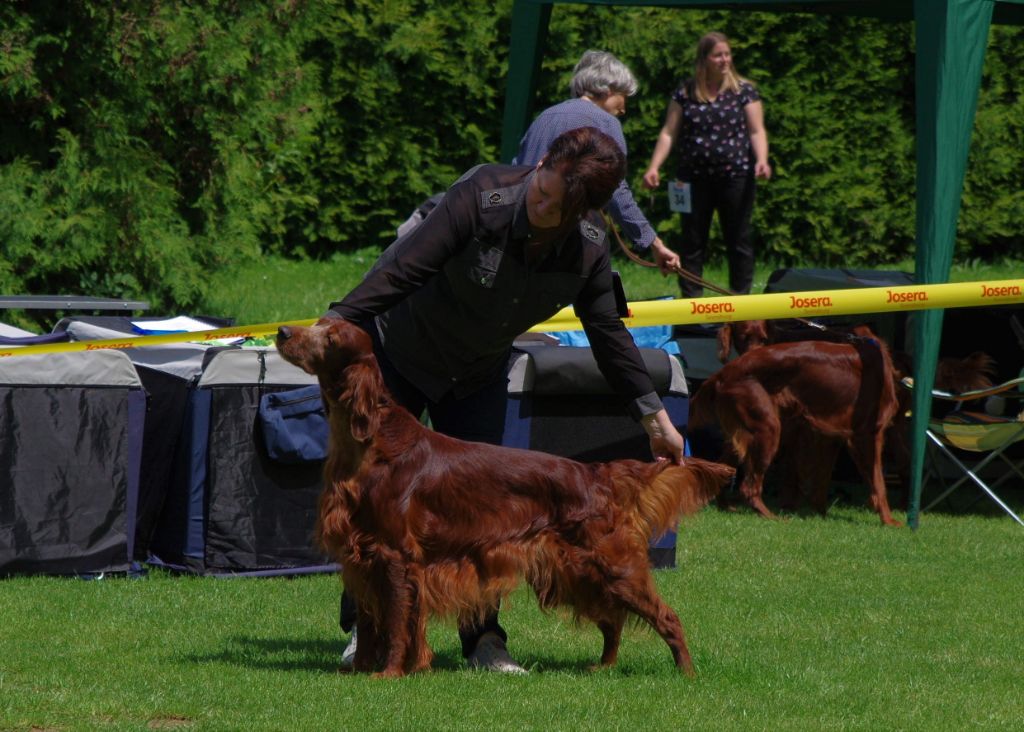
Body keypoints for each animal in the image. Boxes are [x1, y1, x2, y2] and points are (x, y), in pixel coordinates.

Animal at [276, 317, 733, 679]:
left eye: (331, 337)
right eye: (319, 323)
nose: (281, 332)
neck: (370, 443)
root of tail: (595, 473)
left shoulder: (394, 556)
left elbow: (395, 622)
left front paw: (388, 673)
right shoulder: (361, 555)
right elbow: (372, 623)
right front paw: (358, 669)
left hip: (613, 566)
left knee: (666, 617)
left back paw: (686, 674)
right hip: (578, 572)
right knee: (612, 620)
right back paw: (603, 667)